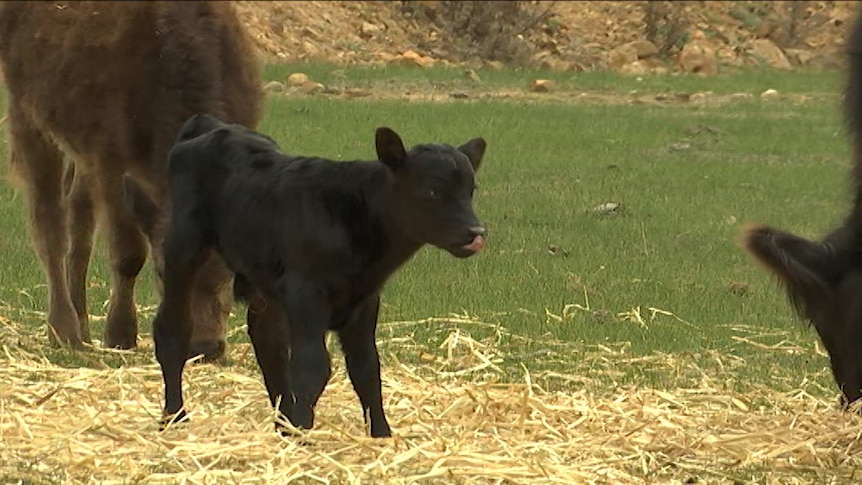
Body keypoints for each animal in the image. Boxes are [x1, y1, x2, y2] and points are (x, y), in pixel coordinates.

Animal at [0, 0, 264, 356]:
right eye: (163, 272)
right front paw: (121, 335)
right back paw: (64, 330)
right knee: (50, 224)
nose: (205, 346)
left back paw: (82, 326)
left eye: (228, 273)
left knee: (79, 225)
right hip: (29, 118)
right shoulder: (111, 164)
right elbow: (128, 253)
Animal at [154, 115, 486, 436]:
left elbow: (366, 367)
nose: (475, 232)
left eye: (470, 190)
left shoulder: (364, 300)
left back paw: (282, 425)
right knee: (173, 328)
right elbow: (312, 366)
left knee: (268, 341)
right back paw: (174, 416)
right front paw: (303, 430)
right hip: (183, 245)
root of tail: (213, 125)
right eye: (431, 190)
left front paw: (381, 434)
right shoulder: (306, 293)